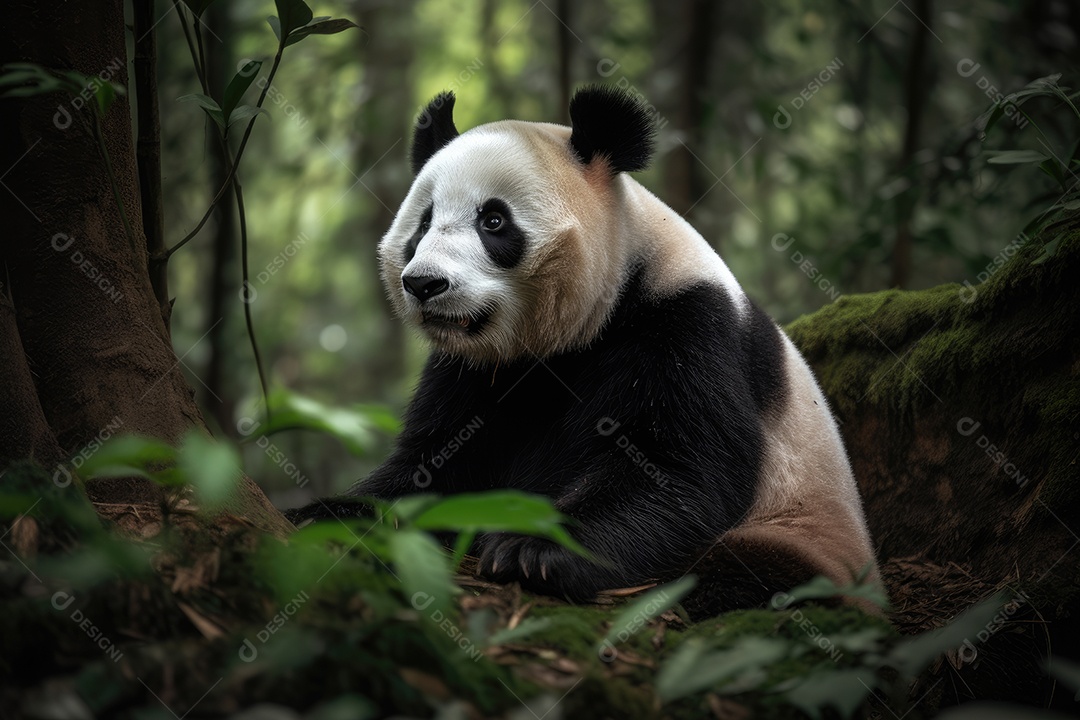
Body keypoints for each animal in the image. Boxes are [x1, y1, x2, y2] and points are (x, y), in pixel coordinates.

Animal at [289, 86, 880, 612]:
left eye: (493, 220)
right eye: (424, 223)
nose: (424, 284)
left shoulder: (685, 326)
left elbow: (676, 468)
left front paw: (532, 550)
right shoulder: (471, 369)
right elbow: (436, 460)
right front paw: (327, 514)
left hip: (805, 529)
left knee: (755, 576)